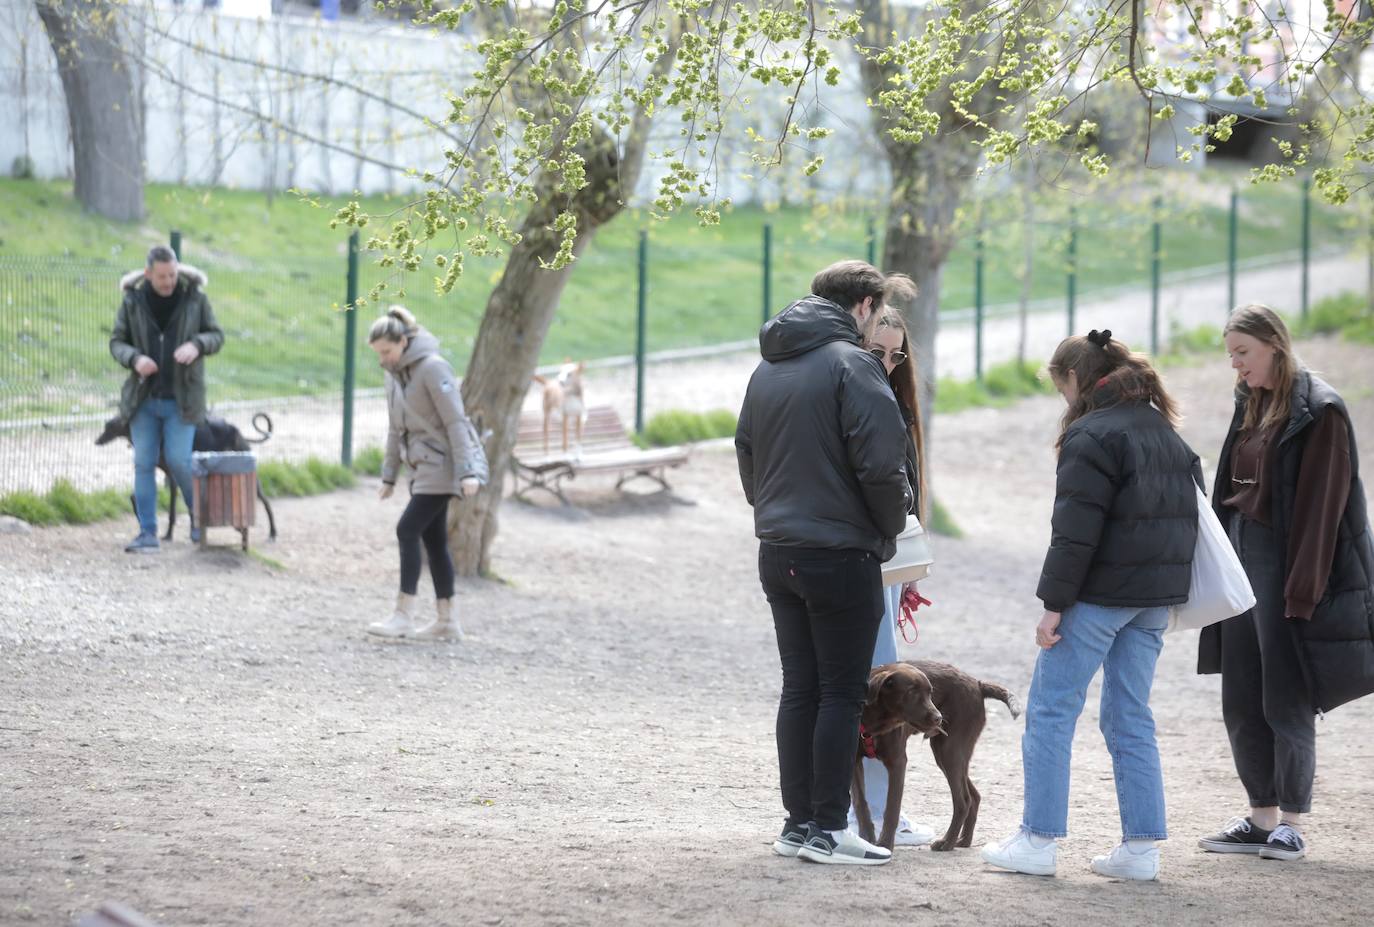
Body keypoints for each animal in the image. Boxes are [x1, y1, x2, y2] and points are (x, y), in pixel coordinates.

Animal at [95, 409, 277, 541]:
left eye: (109, 426)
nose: (97, 441)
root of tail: (237, 431)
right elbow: (134, 497)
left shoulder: (174, 478)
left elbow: (173, 512)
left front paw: (169, 535)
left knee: (266, 502)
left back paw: (272, 533)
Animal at [846, 664, 1022, 851]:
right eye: (911, 691)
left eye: (931, 693)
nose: (939, 718)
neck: (874, 724)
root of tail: (978, 684)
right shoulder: (854, 761)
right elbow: (860, 802)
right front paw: (866, 839)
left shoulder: (898, 763)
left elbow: (892, 808)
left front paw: (885, 845)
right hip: (948, 755)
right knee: (974, 796)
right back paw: (964, 841)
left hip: (950, 751)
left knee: (963, 801)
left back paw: (947, 842)